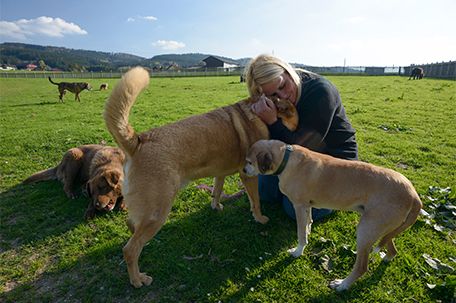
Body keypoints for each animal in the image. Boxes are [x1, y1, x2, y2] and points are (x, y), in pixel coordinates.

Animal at [102, 66, 298, 288]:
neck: (258, 112)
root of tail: (138, 141)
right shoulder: (248, 175)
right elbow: (255, 201)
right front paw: (260, 218)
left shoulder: (220, 173)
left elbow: (217, 191)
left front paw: (216, 206)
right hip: (157, 213)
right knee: (130, 249)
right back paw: (137, 279)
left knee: (132, 227)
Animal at [244, 140, 422, 292]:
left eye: (250, 162)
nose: (243, 171)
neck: (286, 159)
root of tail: (414, 195)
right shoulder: (307, 206)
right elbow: (308, 223)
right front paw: (308, 235)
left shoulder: (299, 206)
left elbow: (301, 233)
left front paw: (298, 250)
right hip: (384, 230)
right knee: (392, 247)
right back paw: (386, 258)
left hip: (366, 230)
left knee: (362, 267)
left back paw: (342, 285)